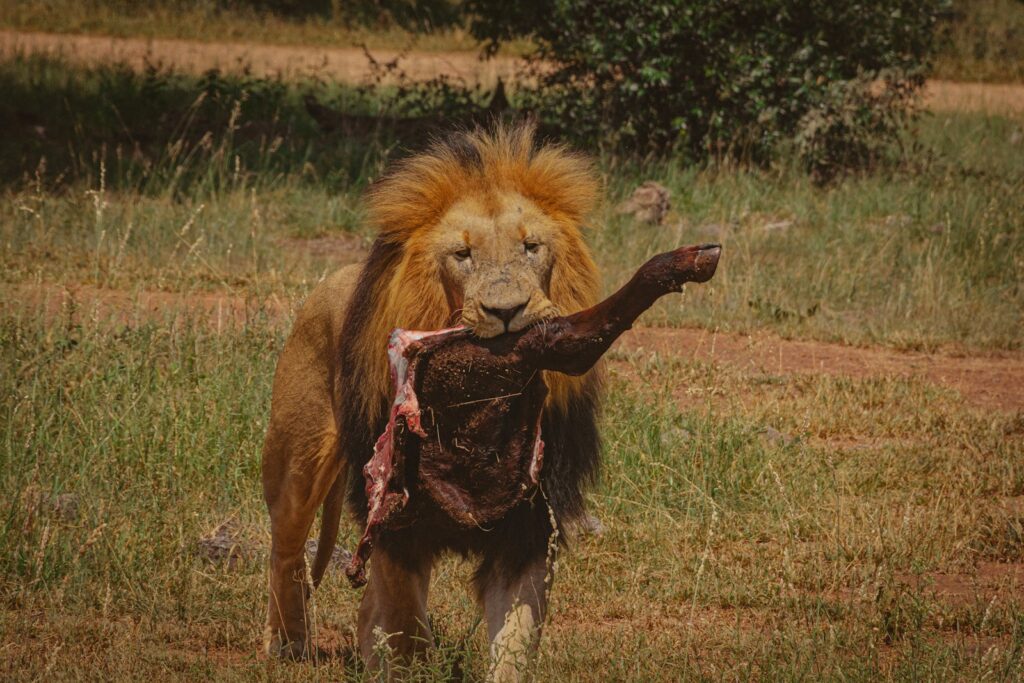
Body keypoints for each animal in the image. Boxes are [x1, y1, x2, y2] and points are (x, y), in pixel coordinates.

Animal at [261, 123, 603, 679]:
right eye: (462, 256)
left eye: (531, 247)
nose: (506, 311)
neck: (480, 410)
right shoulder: (395, 522)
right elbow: (405, 622)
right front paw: (408, 664)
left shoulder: (529, 528)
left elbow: (514, 637)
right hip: (296, 460)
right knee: (286, 552)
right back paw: (288, 643)